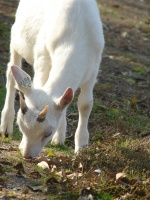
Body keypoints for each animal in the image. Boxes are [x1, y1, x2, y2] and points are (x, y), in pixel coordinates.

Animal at [0, 0, 104, 159]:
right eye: (22, 128)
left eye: (48, 133)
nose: (27, 155)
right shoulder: (42, 56)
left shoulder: (93, 70)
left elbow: (85, 104)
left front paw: (81, 148)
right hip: (16, 36)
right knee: (11, 74)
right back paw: (6, 127)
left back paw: (59, 139)